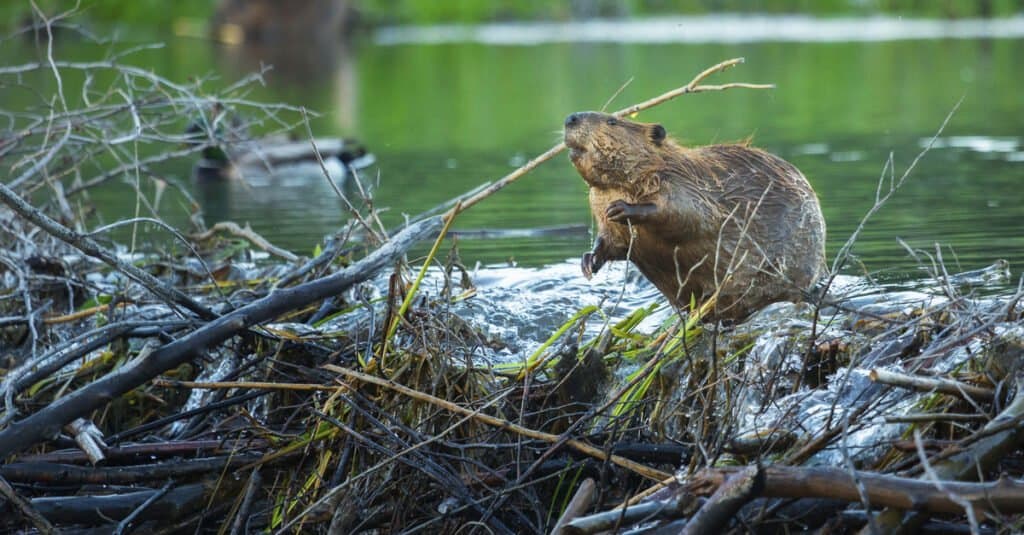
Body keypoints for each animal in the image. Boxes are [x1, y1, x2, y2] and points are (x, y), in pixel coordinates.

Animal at [565, 110, 827, 317]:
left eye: (612, 121)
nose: (571, 118)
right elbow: (612, 242)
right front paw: (588, 261)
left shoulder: (682, 182)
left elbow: (689, 215)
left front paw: (621, 208)